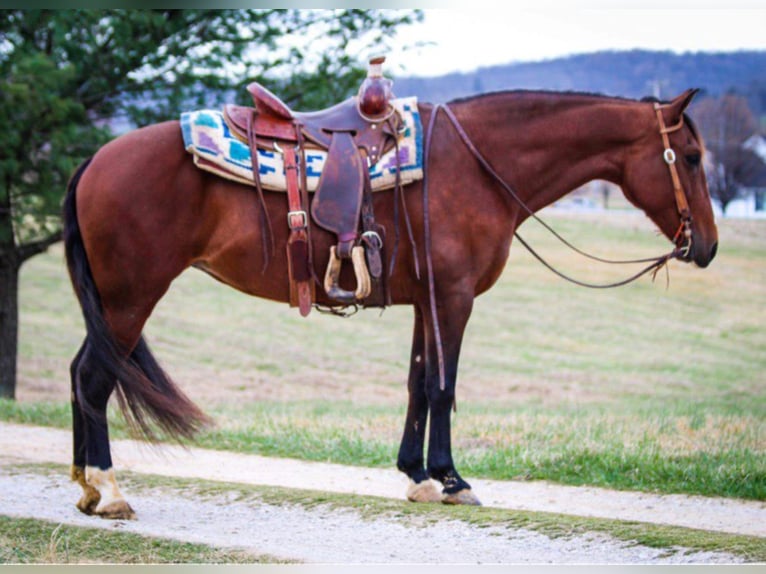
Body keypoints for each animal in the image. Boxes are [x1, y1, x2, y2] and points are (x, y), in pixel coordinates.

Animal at [63, 88, 716, 520]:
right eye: (690, 157)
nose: (705, 246)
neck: (476, 166)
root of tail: (95, 159)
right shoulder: (453, 298)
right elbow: (444, 388)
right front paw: (452, 480)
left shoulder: (427, 301)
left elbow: (417, 384)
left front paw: (417, 476)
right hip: (131, 296)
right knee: (96, 378)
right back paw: (110, 490)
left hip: (113, 302)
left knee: (79, 373)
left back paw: (87, 487)